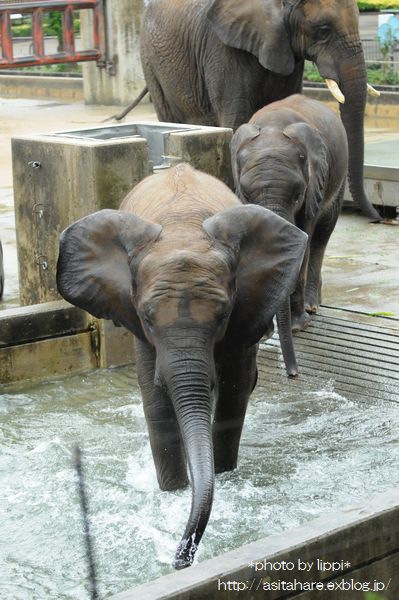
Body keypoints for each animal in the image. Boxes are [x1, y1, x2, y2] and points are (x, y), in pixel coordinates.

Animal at [55, 162, 306, 568]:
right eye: (147, 316)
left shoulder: (245, 307)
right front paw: (172, 494)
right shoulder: (137, 322)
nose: (181, 559)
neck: (181, 230)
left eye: (222, 316)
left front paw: (225, 477)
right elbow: (155, 400)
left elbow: (234, 391)